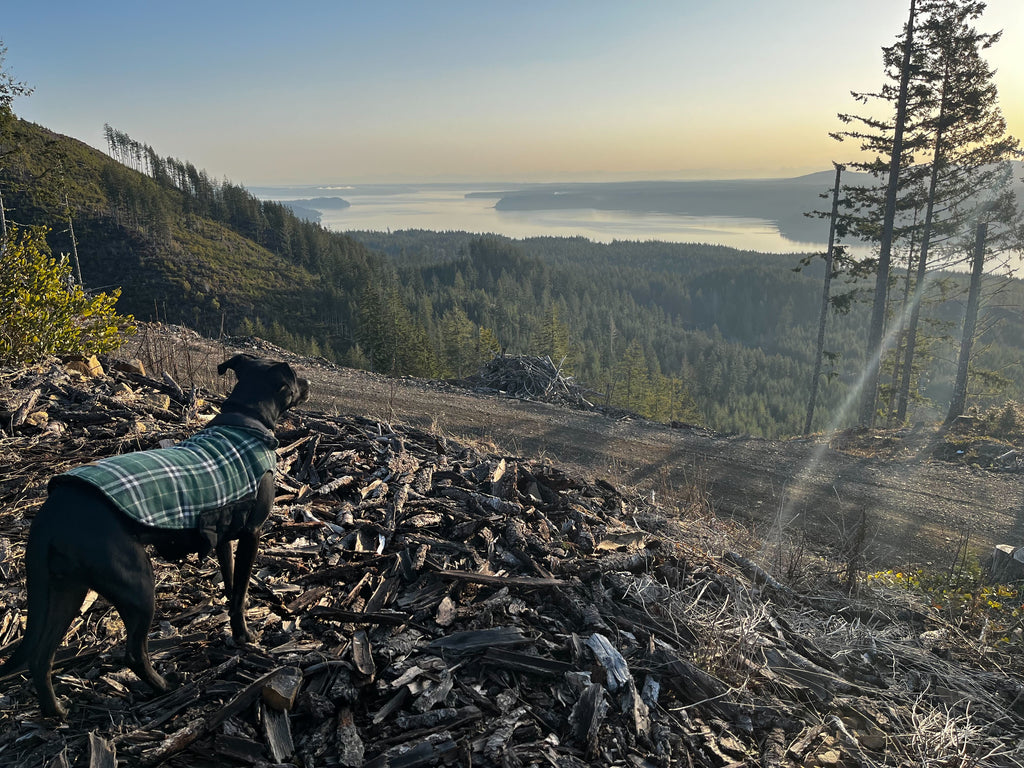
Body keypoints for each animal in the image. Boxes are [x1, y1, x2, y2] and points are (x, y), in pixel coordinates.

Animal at [0, 354, 307, 720]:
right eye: (294, 379)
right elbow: (242, 591)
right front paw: (245, 635)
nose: (308, 384)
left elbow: (232, 586)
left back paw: (56, 711)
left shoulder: (224, 535)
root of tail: (53, 512)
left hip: (65, 588)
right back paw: (166, 687)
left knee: (40, 656)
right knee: (133, 652)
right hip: (136, 584)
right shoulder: (251, 533)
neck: (247, 419)